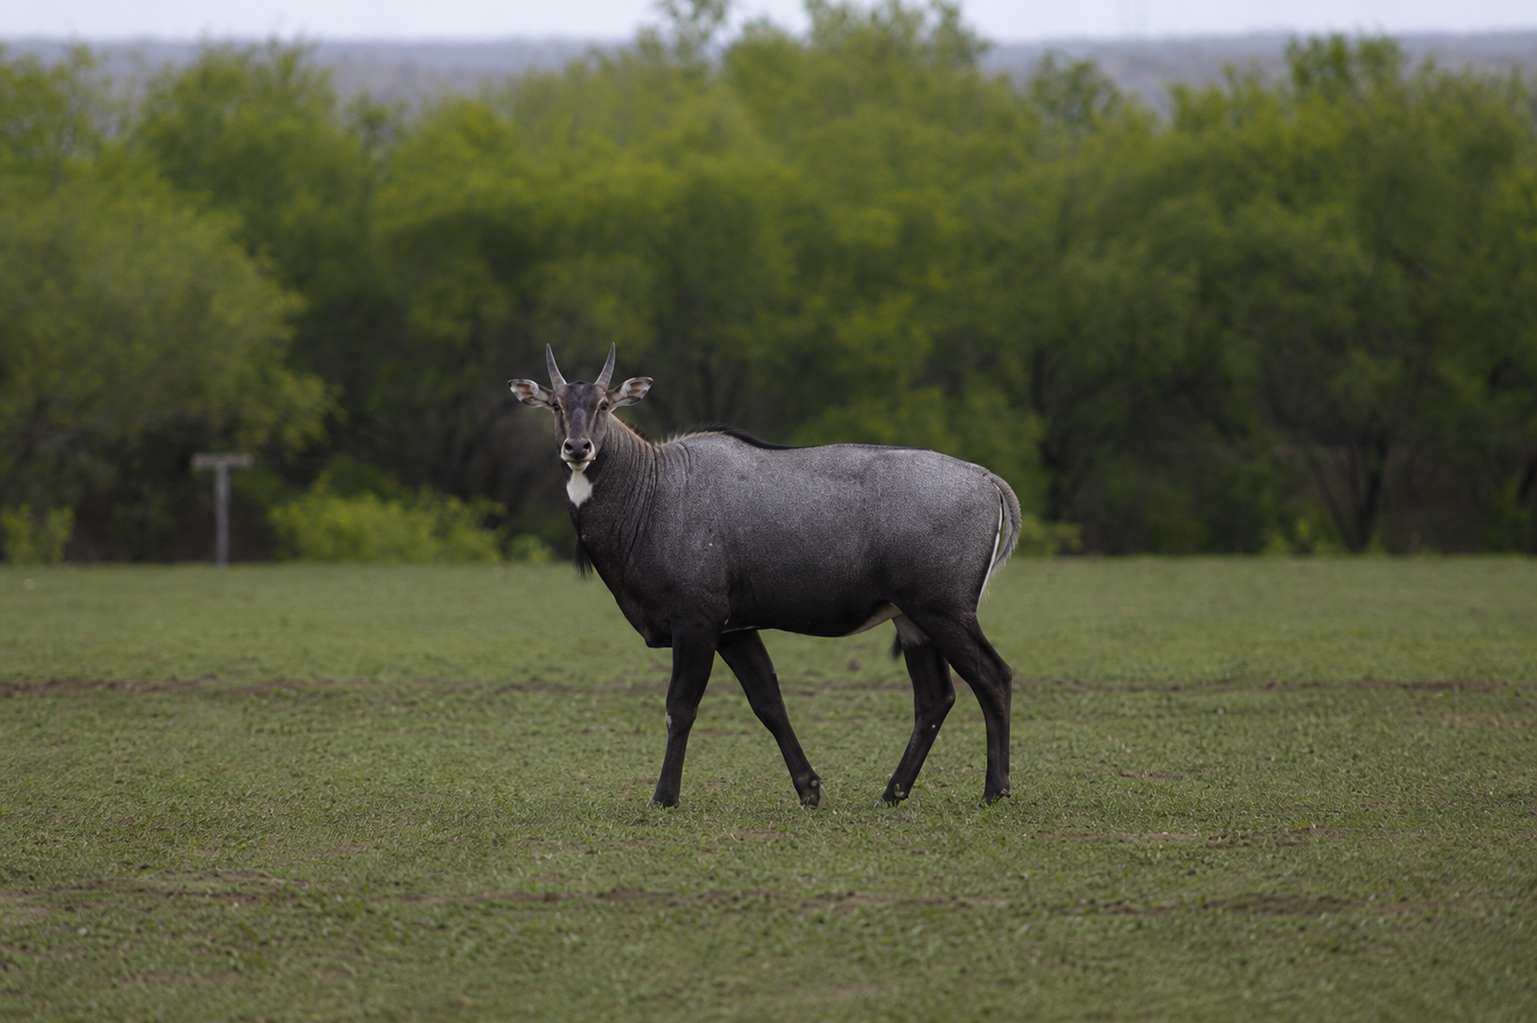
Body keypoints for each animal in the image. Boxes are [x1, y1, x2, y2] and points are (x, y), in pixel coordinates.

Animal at [509, 345, 1022, 808]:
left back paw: (994, 792)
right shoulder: (736, 631)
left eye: (603, 404)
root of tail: (987, 479)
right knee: (935, 698)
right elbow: (769, 703)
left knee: (993, 678)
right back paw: (892, 794)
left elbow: (681, 708)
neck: (654, 488)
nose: (578, 448)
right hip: (912, 620)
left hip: (944, 611)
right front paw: (810, 790)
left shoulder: (696, 622)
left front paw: (663, 798)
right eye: (556, 405)